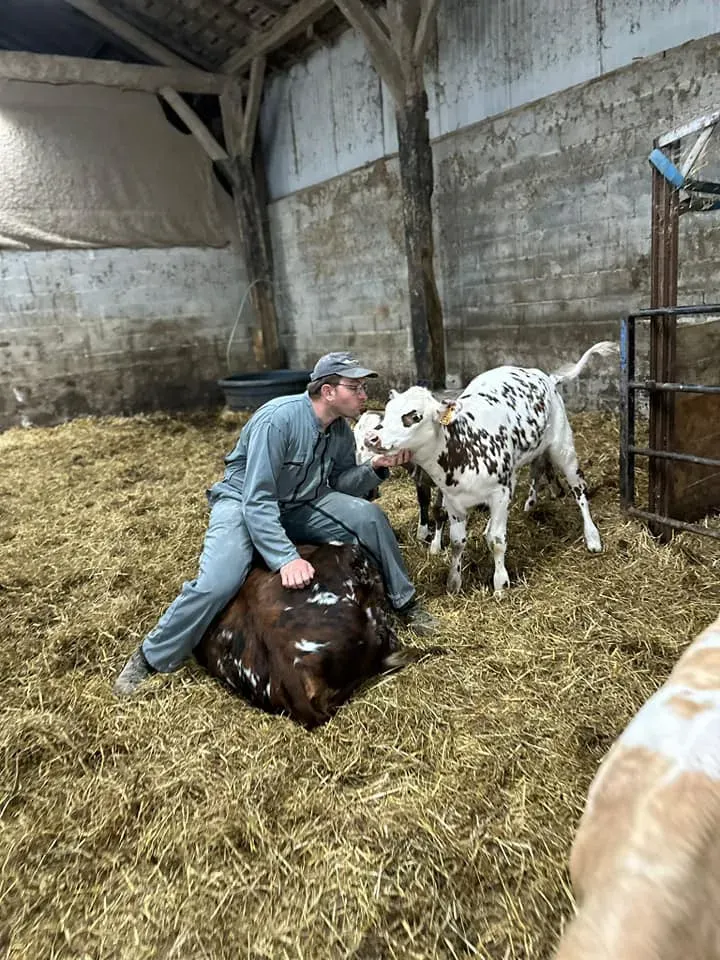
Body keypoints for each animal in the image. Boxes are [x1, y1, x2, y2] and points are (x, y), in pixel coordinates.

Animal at [367, 341, 618, 594]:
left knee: (579, 490)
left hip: (563, 448)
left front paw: (500, 583)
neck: (463, 445)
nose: (372, 438)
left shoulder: (499, 492)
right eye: (387, 412)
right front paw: (454, 582)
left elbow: (497, 541)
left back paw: (592, 537)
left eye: (413, 416)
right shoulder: (453, 501)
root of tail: (546, 377)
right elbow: (457, 542)